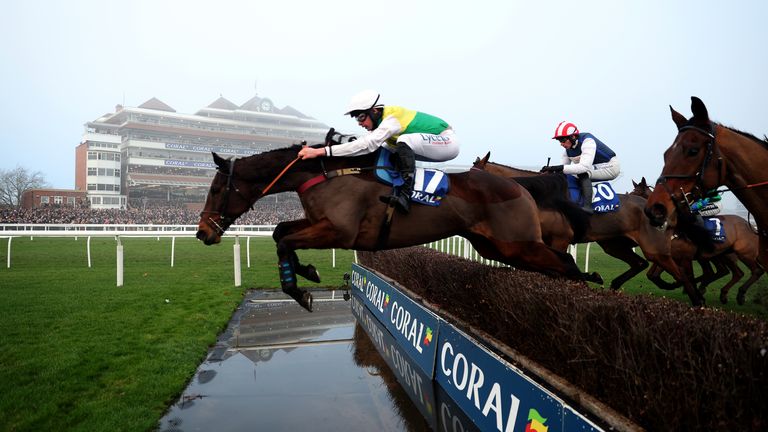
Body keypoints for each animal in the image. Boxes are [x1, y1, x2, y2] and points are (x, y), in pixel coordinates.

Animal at [194, 145, 600, 310]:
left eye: (214, 189)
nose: (202, 233)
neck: (324, 172)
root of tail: (522, 186)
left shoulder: (339, 231)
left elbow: (284, 240)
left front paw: (301, 287)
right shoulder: (317, 222)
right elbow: (280, 232)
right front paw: (305, 272)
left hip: (518, 244)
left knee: (567, 264)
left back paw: (589, 288)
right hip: (497, 246)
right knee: (556, 267)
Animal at [472, 154, 712, 306]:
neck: (538, 195)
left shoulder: (560, 238)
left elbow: (559, 269)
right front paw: (590, 279)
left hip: (654, 248)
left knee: (679, 272)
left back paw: (697, 300)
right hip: (613, 244)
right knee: (640, 263)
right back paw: (614, 285)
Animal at [632, 177, 760, 306]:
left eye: (636, 193)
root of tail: (750, 225)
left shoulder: (684, 257)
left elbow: (685, 276)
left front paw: (694, 295)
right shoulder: (668, 256)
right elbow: (652, 275)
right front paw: (674, 286)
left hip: (743, 253)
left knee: (754, 270)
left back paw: (740, 293)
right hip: (723, 255)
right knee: (732, 272)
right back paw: (719, 293)